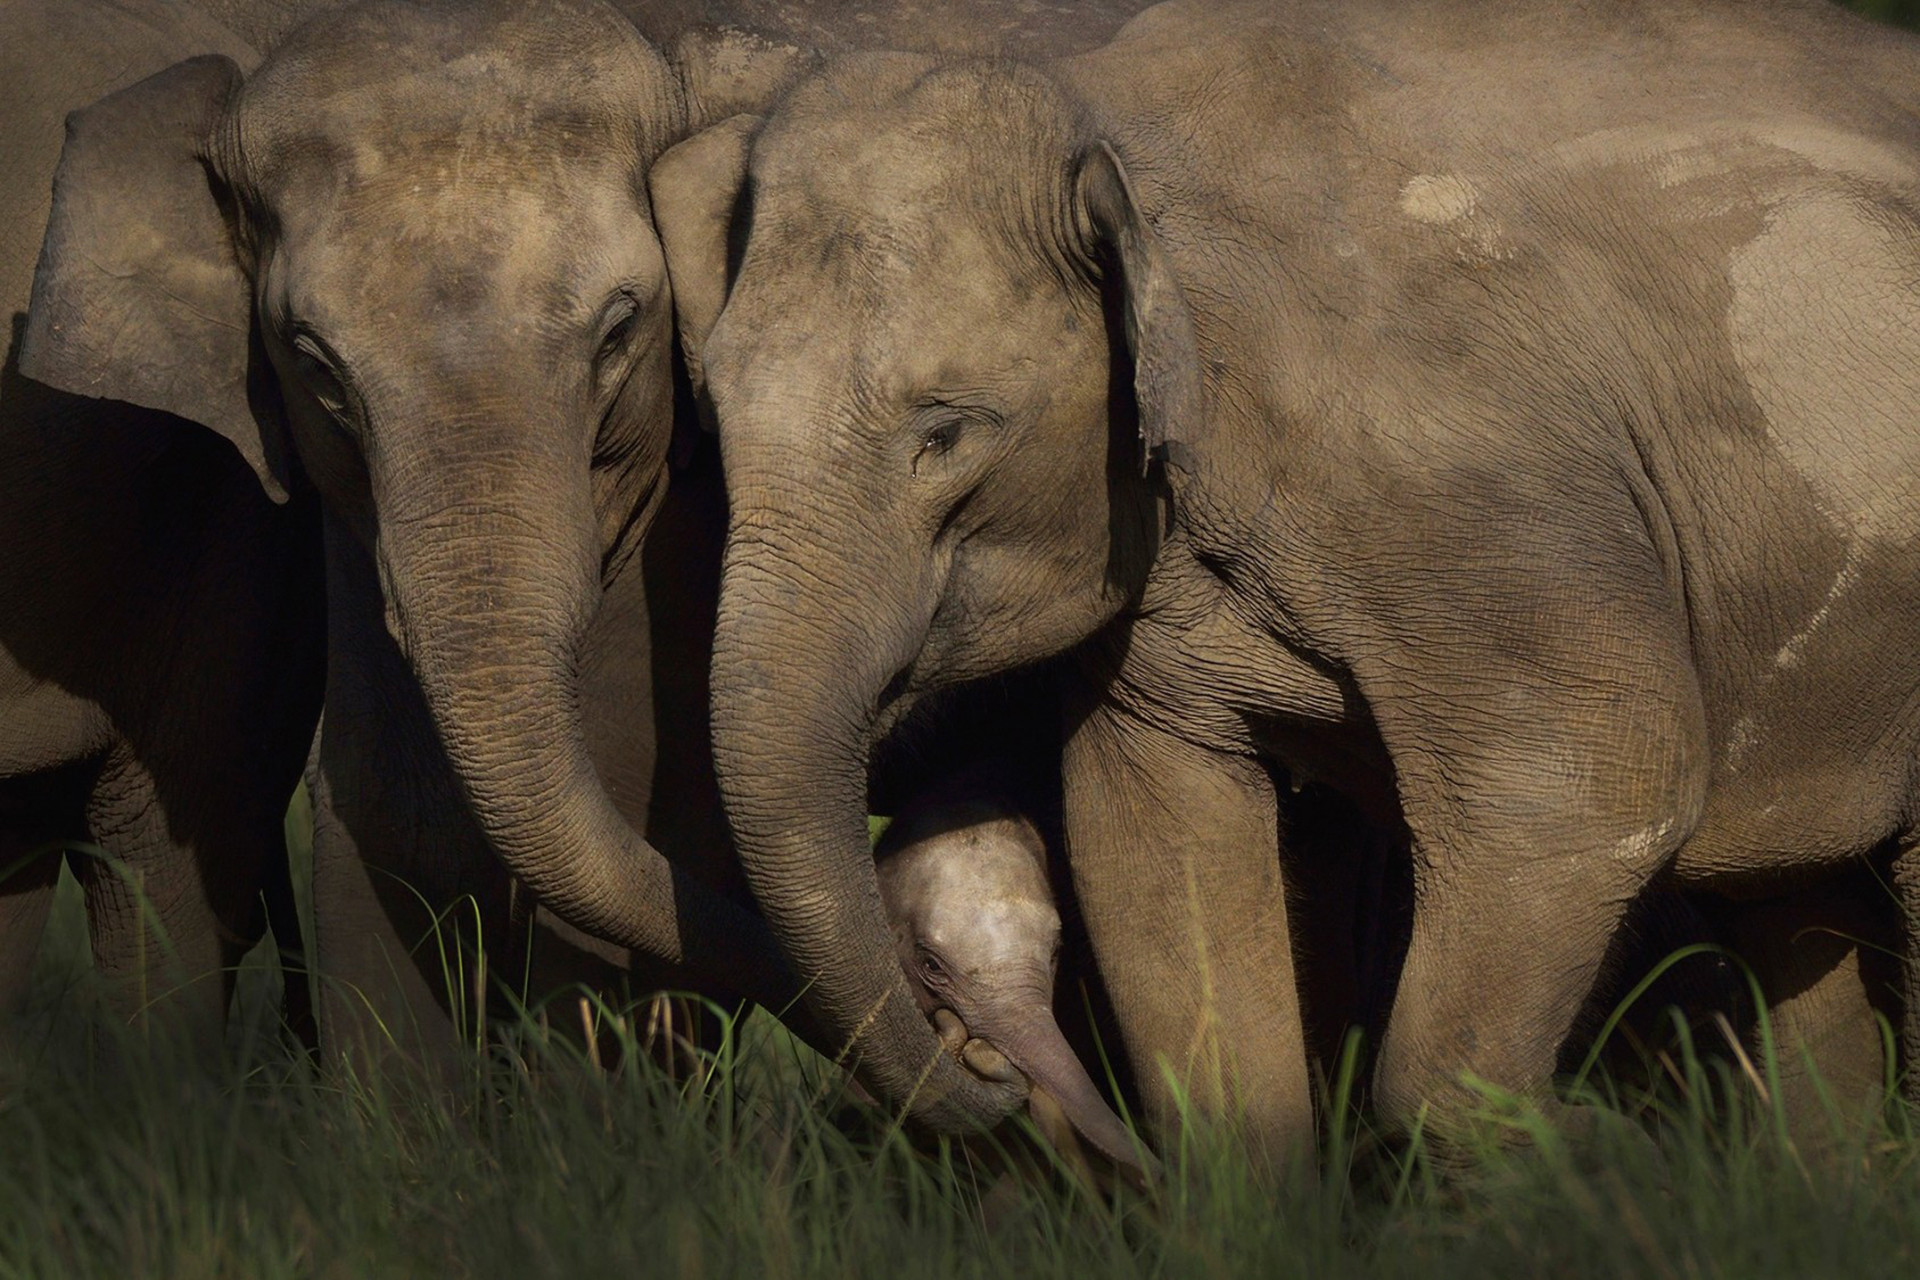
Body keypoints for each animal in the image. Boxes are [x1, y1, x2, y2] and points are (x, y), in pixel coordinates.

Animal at [640, 0, 1920, 1163]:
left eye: (948, 431)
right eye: (710, 417)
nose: (991, 1077)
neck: (1100, 108)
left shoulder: (1468, 481)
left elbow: (1596, 779)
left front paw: (1607, 1153)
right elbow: (1156, 848)